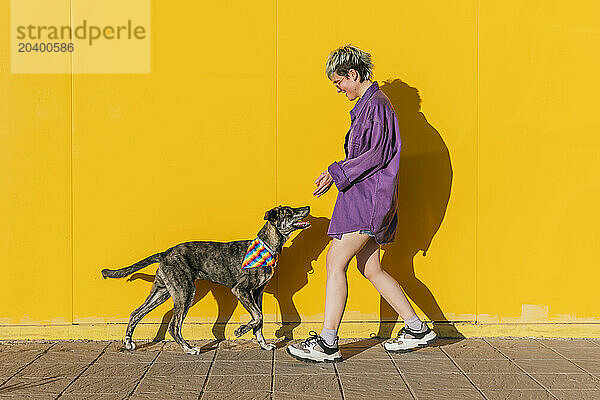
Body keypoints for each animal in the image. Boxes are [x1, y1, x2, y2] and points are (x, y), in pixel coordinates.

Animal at [99, 206, 310, 354]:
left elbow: (259, 320)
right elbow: (257, 317)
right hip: (185, 292)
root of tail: (165, 253)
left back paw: (128, 342)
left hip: (162, 292)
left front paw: (263, 345)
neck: (266, 246)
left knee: (136, 313)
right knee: (174, 325)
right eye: (290, 212)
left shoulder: (257, 293)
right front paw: (240, 331)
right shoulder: (241, 290)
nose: (307, 207)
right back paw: (188, 348)